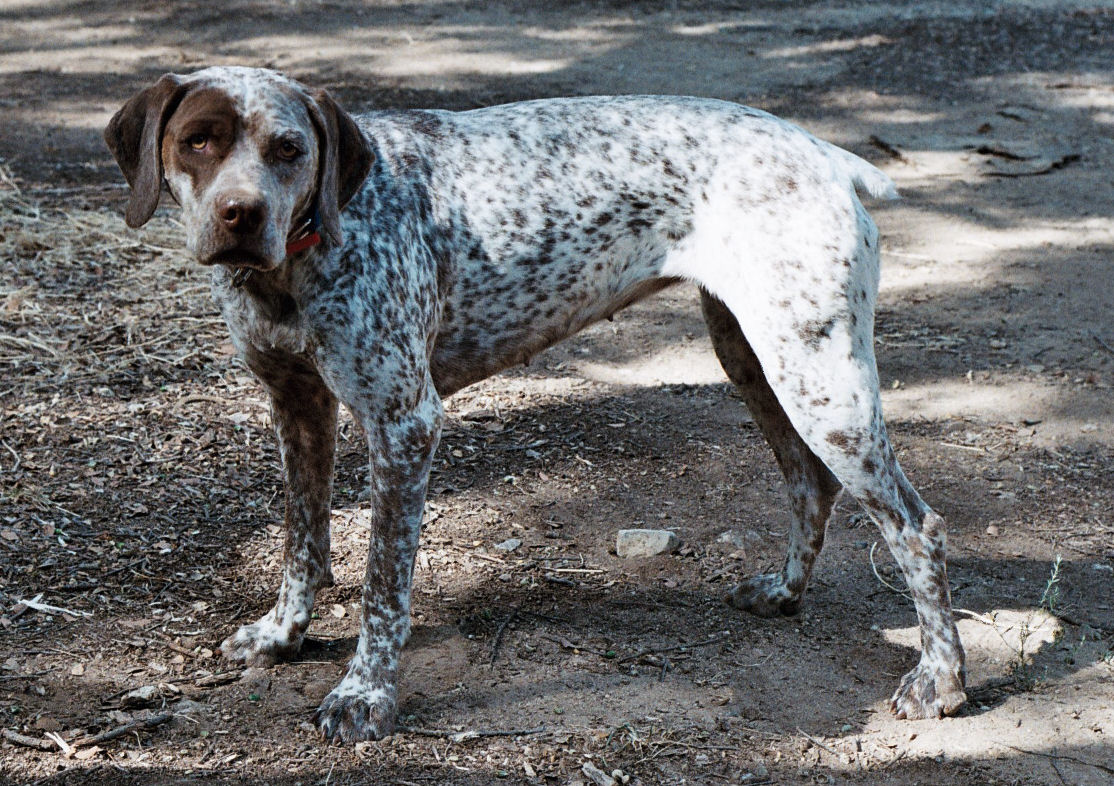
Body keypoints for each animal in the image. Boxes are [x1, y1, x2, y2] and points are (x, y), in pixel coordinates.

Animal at [104, 67, 966, 739]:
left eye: (290, 149)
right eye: (200, 141)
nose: (241, 216)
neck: (298, 264)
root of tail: (826, 155)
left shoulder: (403, 424)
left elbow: (383, 586)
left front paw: (366, 694)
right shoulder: (297, 406)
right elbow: (303, 543)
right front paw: (283, 636)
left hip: (818, 380)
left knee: (915, 527)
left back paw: (942, 682)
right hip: (755, 358)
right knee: (808, 482)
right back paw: (785, 594)